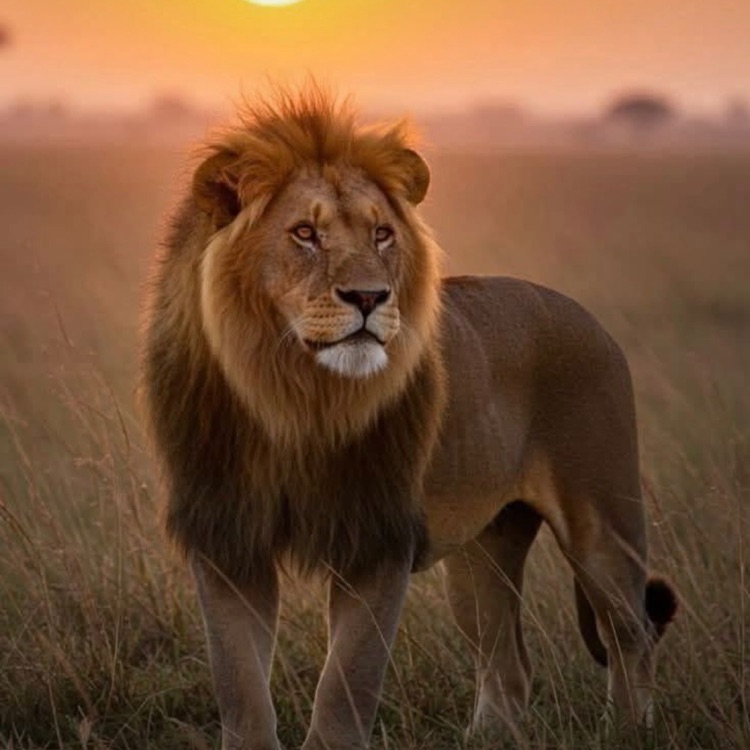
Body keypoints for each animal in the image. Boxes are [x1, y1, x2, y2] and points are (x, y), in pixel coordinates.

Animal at [141, 85, 676, 750]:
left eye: (382, 235)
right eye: (304, 233)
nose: (370, 298)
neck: (293, 397)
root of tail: (586, 316)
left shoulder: (376, 540)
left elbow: (346, 685)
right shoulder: (227, 538)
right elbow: (241, 689)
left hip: (602, 522)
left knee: (632, 633)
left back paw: (628, 730)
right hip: (484, 551)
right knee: (509, 664)